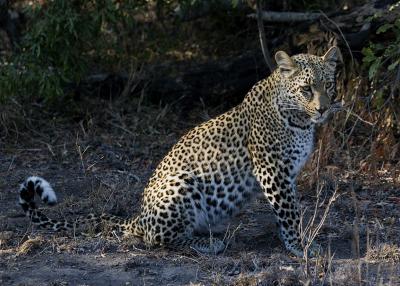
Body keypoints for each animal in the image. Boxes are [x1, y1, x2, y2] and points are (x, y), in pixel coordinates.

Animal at [18, 46, 342, 256]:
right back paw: (207, 245)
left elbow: (291, 210)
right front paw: (300, 247)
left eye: (328, 85)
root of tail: (139, 216)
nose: (323, 109)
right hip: (181, 183)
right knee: (157, 239)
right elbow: (289, 212)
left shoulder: (288, 174)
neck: (298, 120)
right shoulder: (272, 170)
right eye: (306, 89)